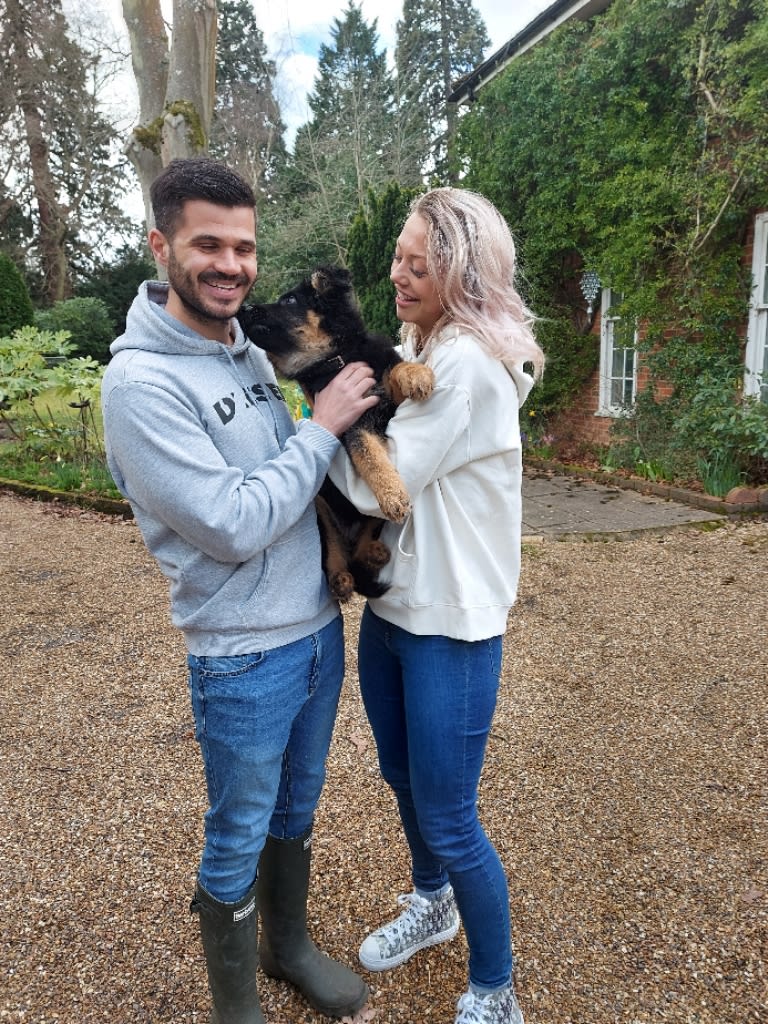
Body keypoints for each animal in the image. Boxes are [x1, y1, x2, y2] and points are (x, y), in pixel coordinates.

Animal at [237, 266, 436, 598]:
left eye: (289, 300)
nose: (243, 309)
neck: (335, 360)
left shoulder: (385, 396)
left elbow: (393, 370)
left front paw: (416, 374)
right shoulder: (352, 425)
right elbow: (368, 456)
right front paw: (392, 495)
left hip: (366, 520)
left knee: (362, 544)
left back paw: (372, 551)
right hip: (320, 507)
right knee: (335, 549)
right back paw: (340, 578)